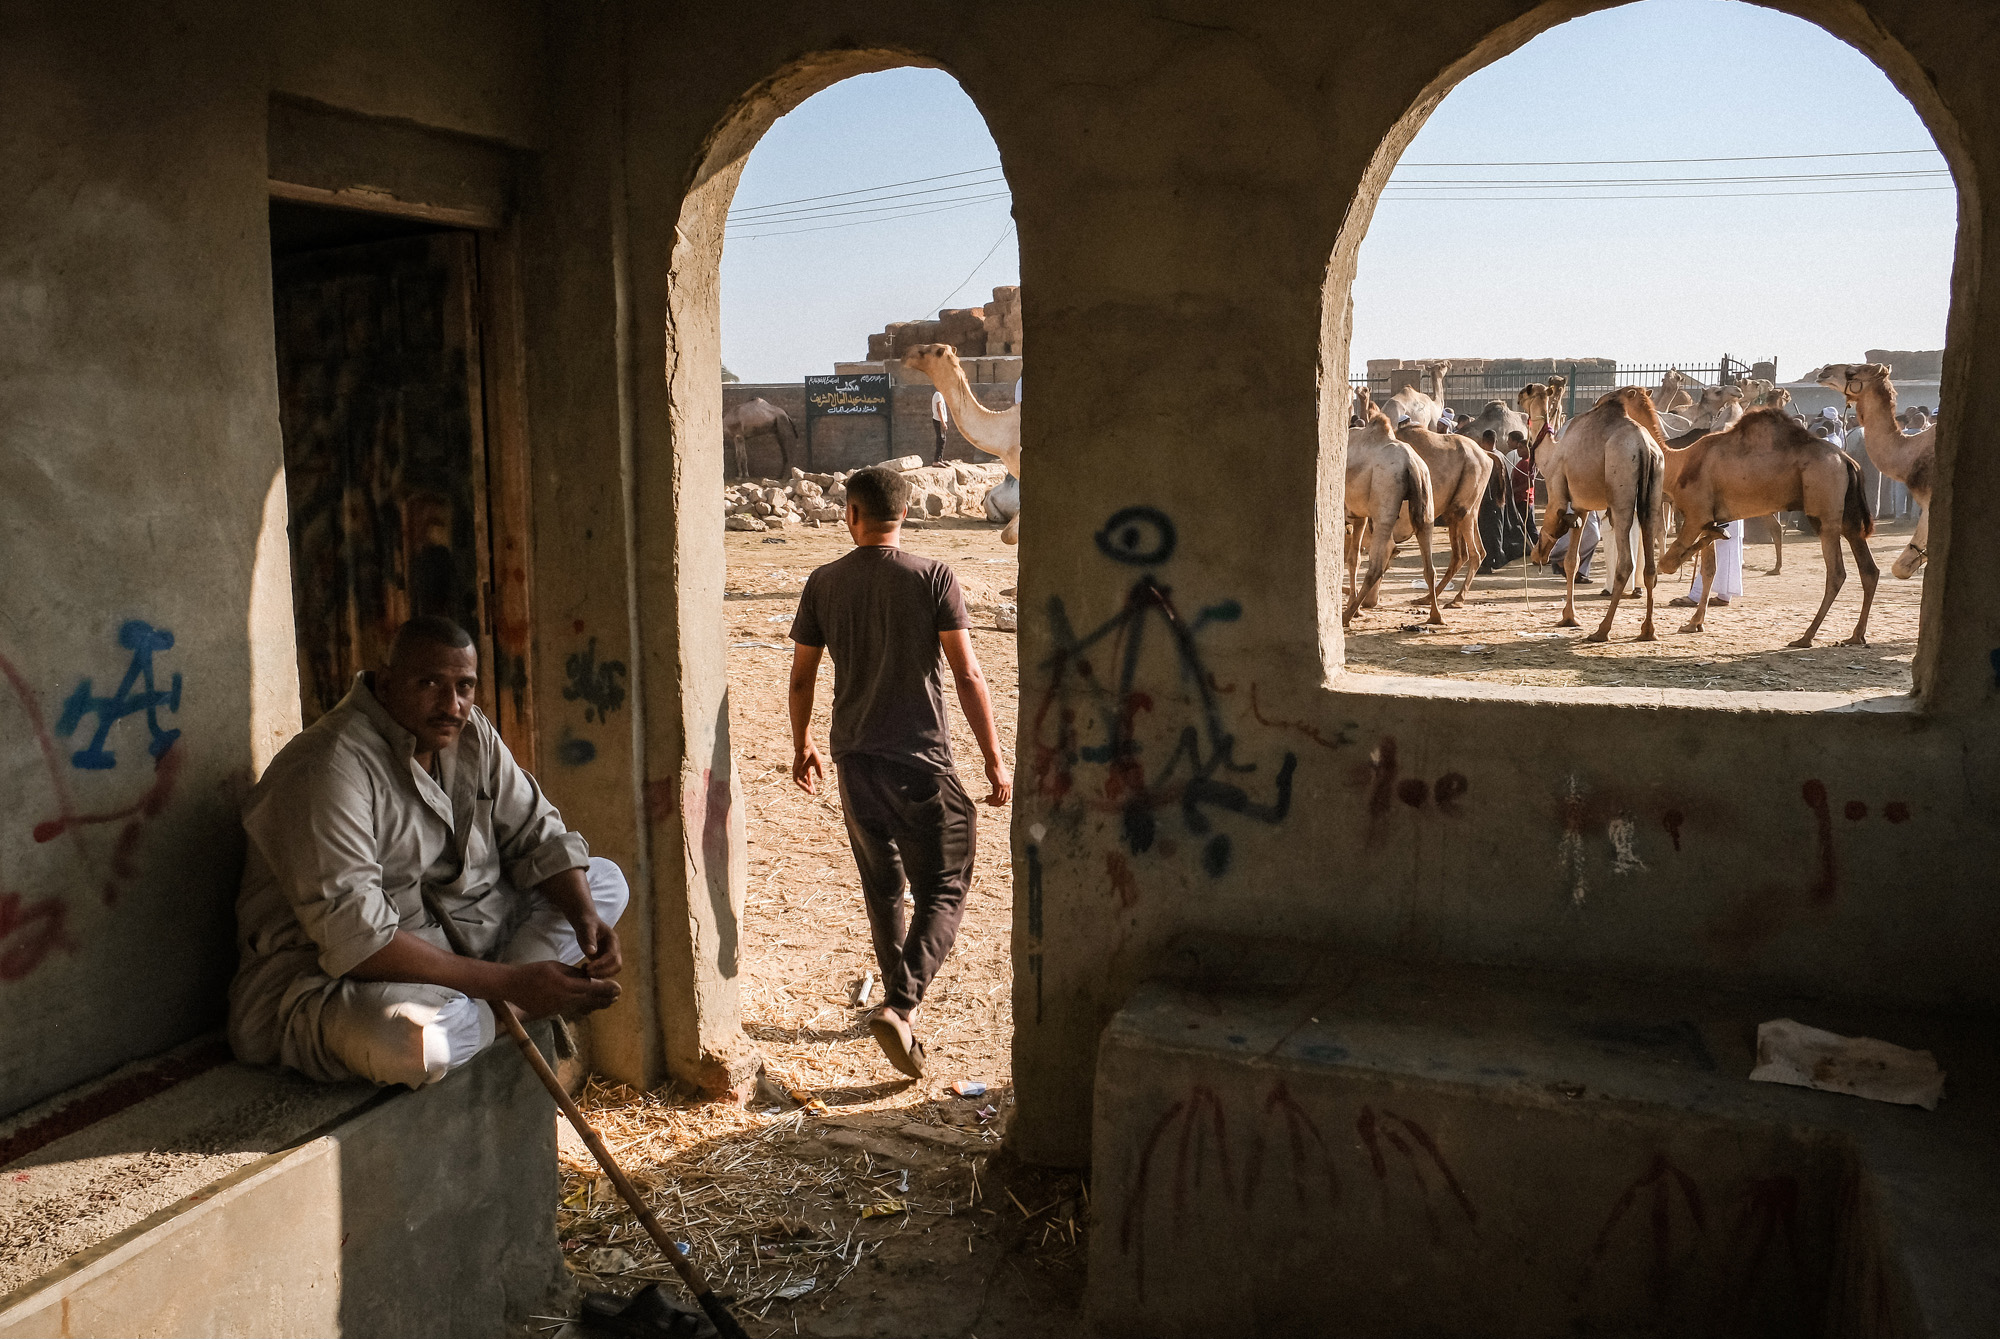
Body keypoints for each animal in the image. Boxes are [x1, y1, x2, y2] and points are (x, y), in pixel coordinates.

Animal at [1344, 410, 1441, 627]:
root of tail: (1411, 464)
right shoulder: (1359, 515)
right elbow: (1354, 559)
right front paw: (1357, 610)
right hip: (1426, 497)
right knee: (1429, 564)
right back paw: (1436, 616)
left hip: (1384, 497)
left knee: (1377, 563)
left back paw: (1346, 617)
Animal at [1395, 423, 1492, 607]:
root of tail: (1487, 456)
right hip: (1467, 508)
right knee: (1469, 552)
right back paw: (1427, 598)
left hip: (1463, 503)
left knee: (1473, 553)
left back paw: (1457, 600)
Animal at [1526, 387, 1665, 642]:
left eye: (1526, 393)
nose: (1536, 557)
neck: (1552, 452)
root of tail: (1643, 446)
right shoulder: (1582, 506)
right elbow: (1572, 560)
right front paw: (1569, 617)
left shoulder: (1559, 489)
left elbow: (1556, 524)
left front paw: (1570, 617)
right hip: (1654, 489)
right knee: (1649, 564)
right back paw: (1648, 630)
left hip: (1621, 489)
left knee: (1625, 562)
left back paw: (1602, 630)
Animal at [1661, 407, 1877, 647]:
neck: (1679, 460)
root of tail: (1848, 462)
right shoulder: (1704, 515)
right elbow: (1706, 565)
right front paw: (1694, 622)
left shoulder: (1696, 513)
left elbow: (1668, 562)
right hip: (1849, 518)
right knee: (1869, 569)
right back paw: (1856, 634)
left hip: (1825, 514)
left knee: (1836, 572)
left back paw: (1806, 636)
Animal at [1810, 363, 1936, 579]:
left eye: (1852, 372)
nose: (1825, 370)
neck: (1911, 454)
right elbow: (1902, 568)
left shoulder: (1930, 505)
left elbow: (1900, 569)